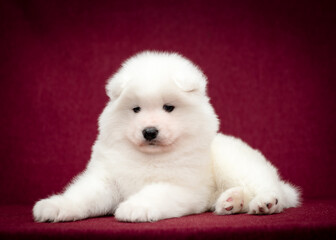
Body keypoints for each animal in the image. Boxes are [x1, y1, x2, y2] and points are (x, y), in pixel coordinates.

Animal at [32, 51, 300, 222]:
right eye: (136, 109)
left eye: (168, 108)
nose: (149, 131)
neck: (150, 157)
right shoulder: (106, 178)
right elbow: (82, 194)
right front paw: (55, 206)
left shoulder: (181, 184)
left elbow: (156, 192)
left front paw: (135, 207)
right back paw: (232, 202)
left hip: (236, 163)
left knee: (269, 187)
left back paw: (264, 203)